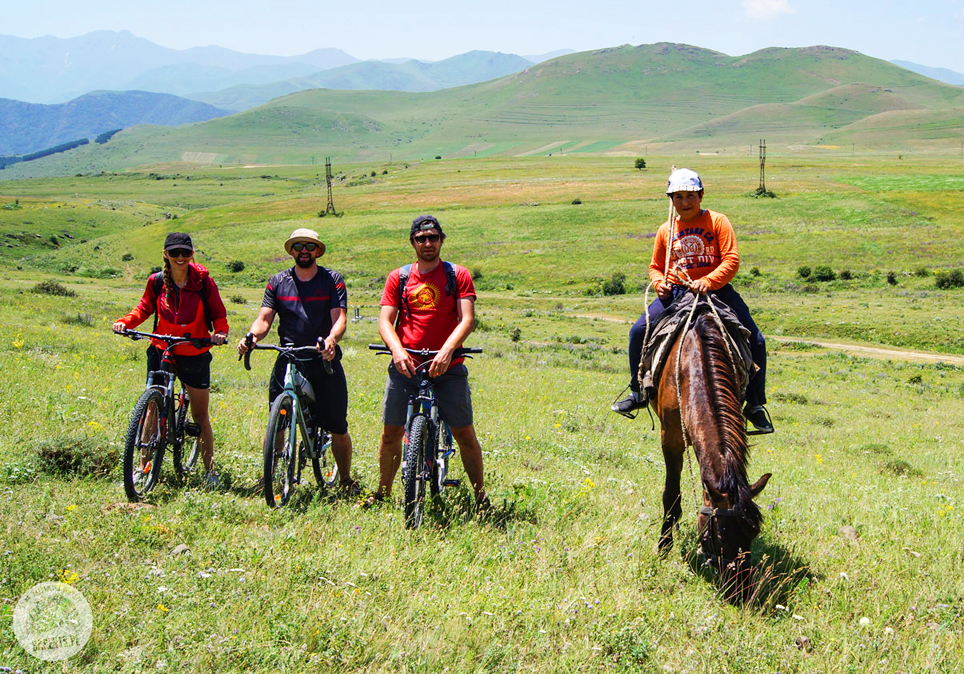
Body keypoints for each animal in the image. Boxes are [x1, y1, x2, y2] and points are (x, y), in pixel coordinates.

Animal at [656, 296, 768, 596]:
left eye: (753, 534)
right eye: (720, 535)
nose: (742, 592)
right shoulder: (671, 438)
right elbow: (671, 496)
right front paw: (663, 547)